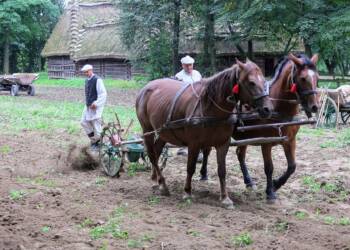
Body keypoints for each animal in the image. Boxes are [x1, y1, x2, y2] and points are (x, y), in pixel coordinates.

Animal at [135, 59, 272, 208]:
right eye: (251, 82)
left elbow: (222, 170)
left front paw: (225, 198)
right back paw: (163, 185)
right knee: (152, 156)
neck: (211, 108)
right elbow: (190, 167)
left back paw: (156, 181)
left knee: (157, 151)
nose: (268, 109)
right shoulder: (194, 144)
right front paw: (187, 192)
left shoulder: (223, 144)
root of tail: (146, 88)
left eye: (264, 80)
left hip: (163, 133)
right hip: (147, 131)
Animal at [200, 53, 320, 202]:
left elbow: (292, 167)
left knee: (240, 155)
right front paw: (270, 192)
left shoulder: (290, 141)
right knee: (207, 150)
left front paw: (276, 184)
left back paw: (248, 181)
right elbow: (269, 167)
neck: (279, 107)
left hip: (244, 136)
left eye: (317, 78)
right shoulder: (266, 142)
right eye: (303, 78)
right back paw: (203, 174)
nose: (315, 106)